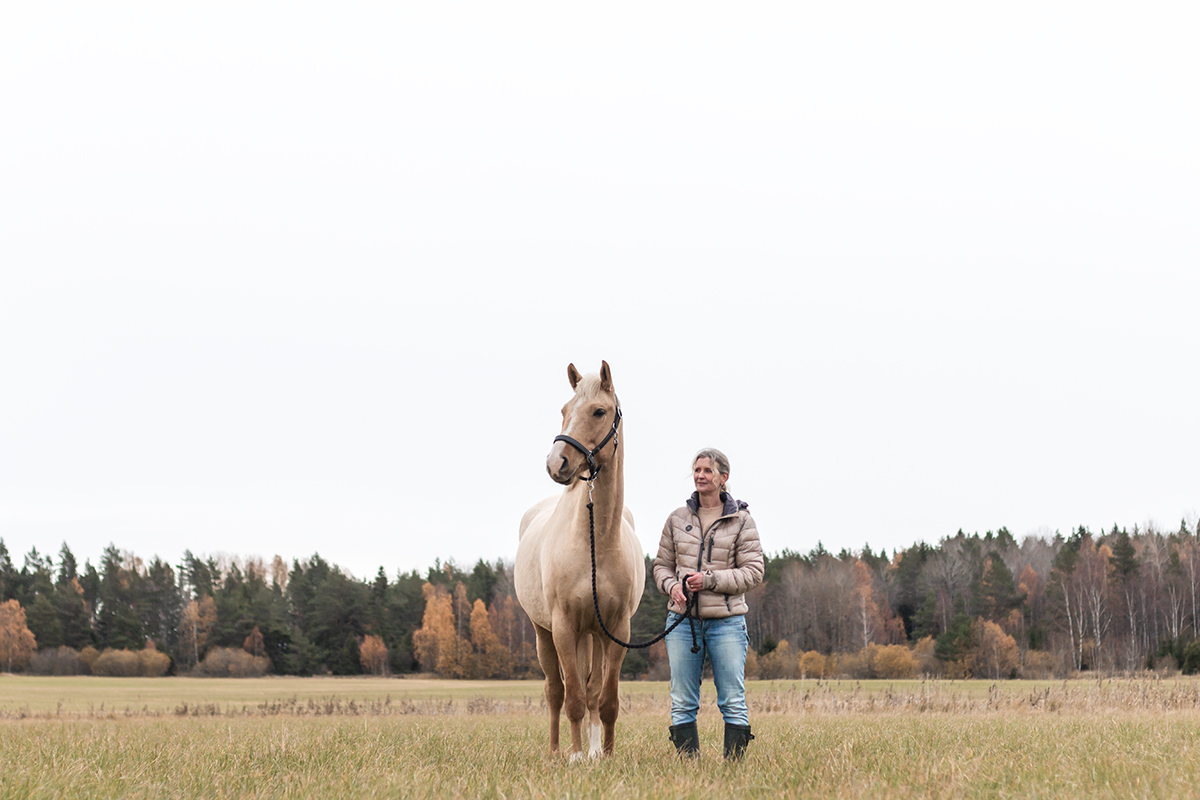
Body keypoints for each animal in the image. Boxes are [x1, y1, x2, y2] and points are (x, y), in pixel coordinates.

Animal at [516, 359, 648, 762]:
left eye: (598, 411)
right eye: (564, 410)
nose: (556, 463)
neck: (595, 543)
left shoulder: (617, 630)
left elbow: (605, 700)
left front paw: (604, 754)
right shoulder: (562, 628)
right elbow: (572, 697)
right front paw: (575, 756)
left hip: (593, 635)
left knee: (591, 690)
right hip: (545, 634)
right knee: (555, 692)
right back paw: (558, 750)